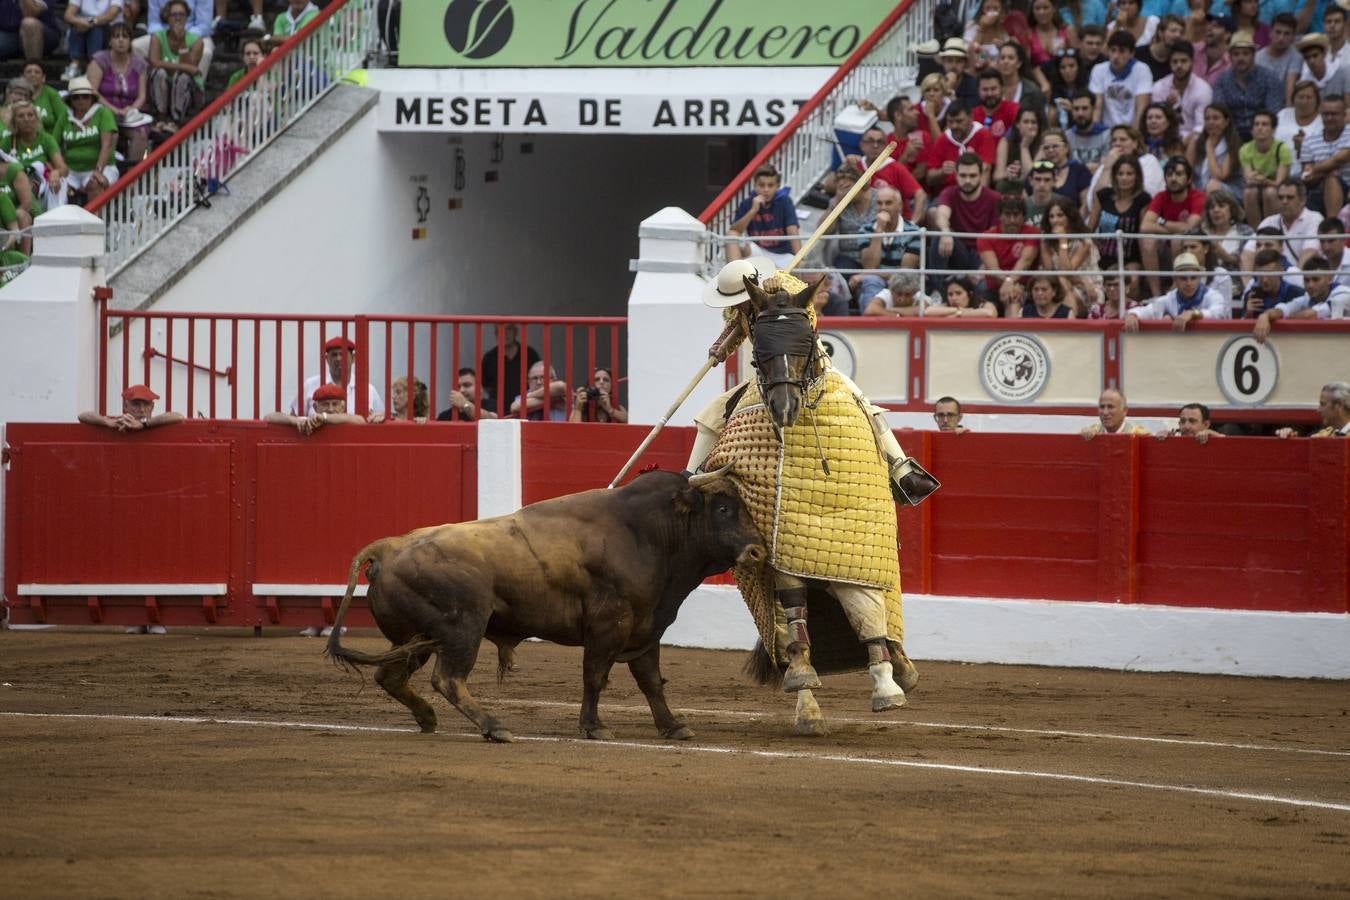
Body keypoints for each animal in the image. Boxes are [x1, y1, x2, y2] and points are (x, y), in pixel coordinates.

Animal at [322, 469, 766, 744]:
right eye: (722, 508)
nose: (758, 550)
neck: (648, 533)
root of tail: (388, 546)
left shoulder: (645, 628)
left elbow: (651, 682)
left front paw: (674, 727)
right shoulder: (609, 626)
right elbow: (595, 676)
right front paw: (594, 727)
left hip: (416, 639)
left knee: (390, 677)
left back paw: (428, 718)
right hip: (463, 627)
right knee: (448, 679)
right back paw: (495, 727)